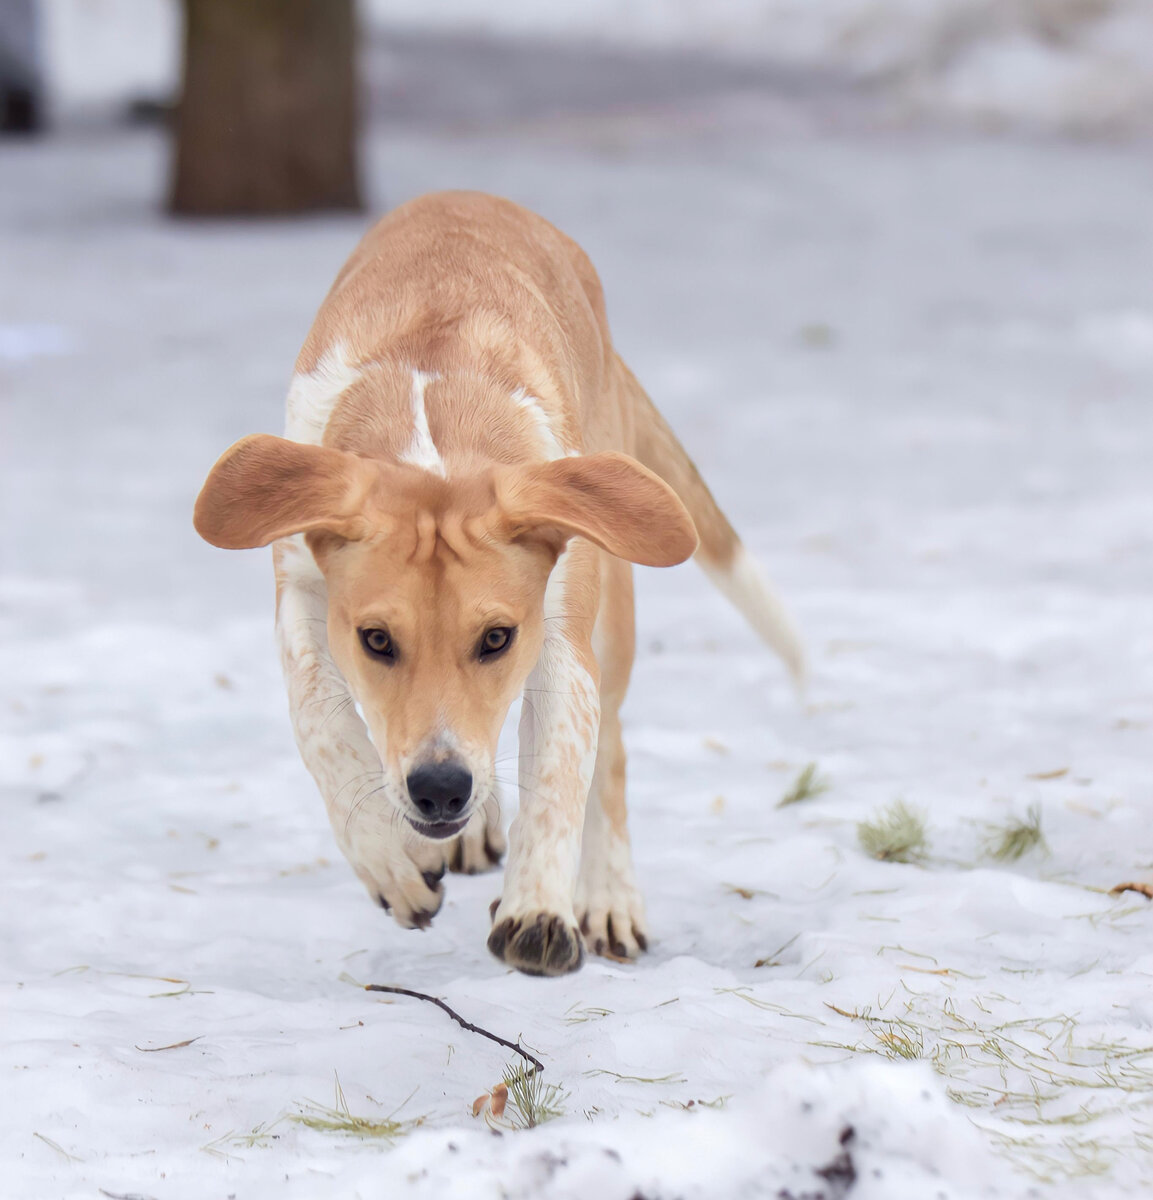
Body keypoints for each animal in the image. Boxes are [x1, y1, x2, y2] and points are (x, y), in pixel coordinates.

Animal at [193, 189, 801, 974]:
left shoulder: (559, 638)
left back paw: (606, 897)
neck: (433, 417)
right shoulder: (300, 584)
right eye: (376, 640)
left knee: (608, 753)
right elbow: (320, 722)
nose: (439, 789)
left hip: (613, 593)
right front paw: (393, 863)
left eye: (496, 637)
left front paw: (537, 910)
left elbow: (561, 773)